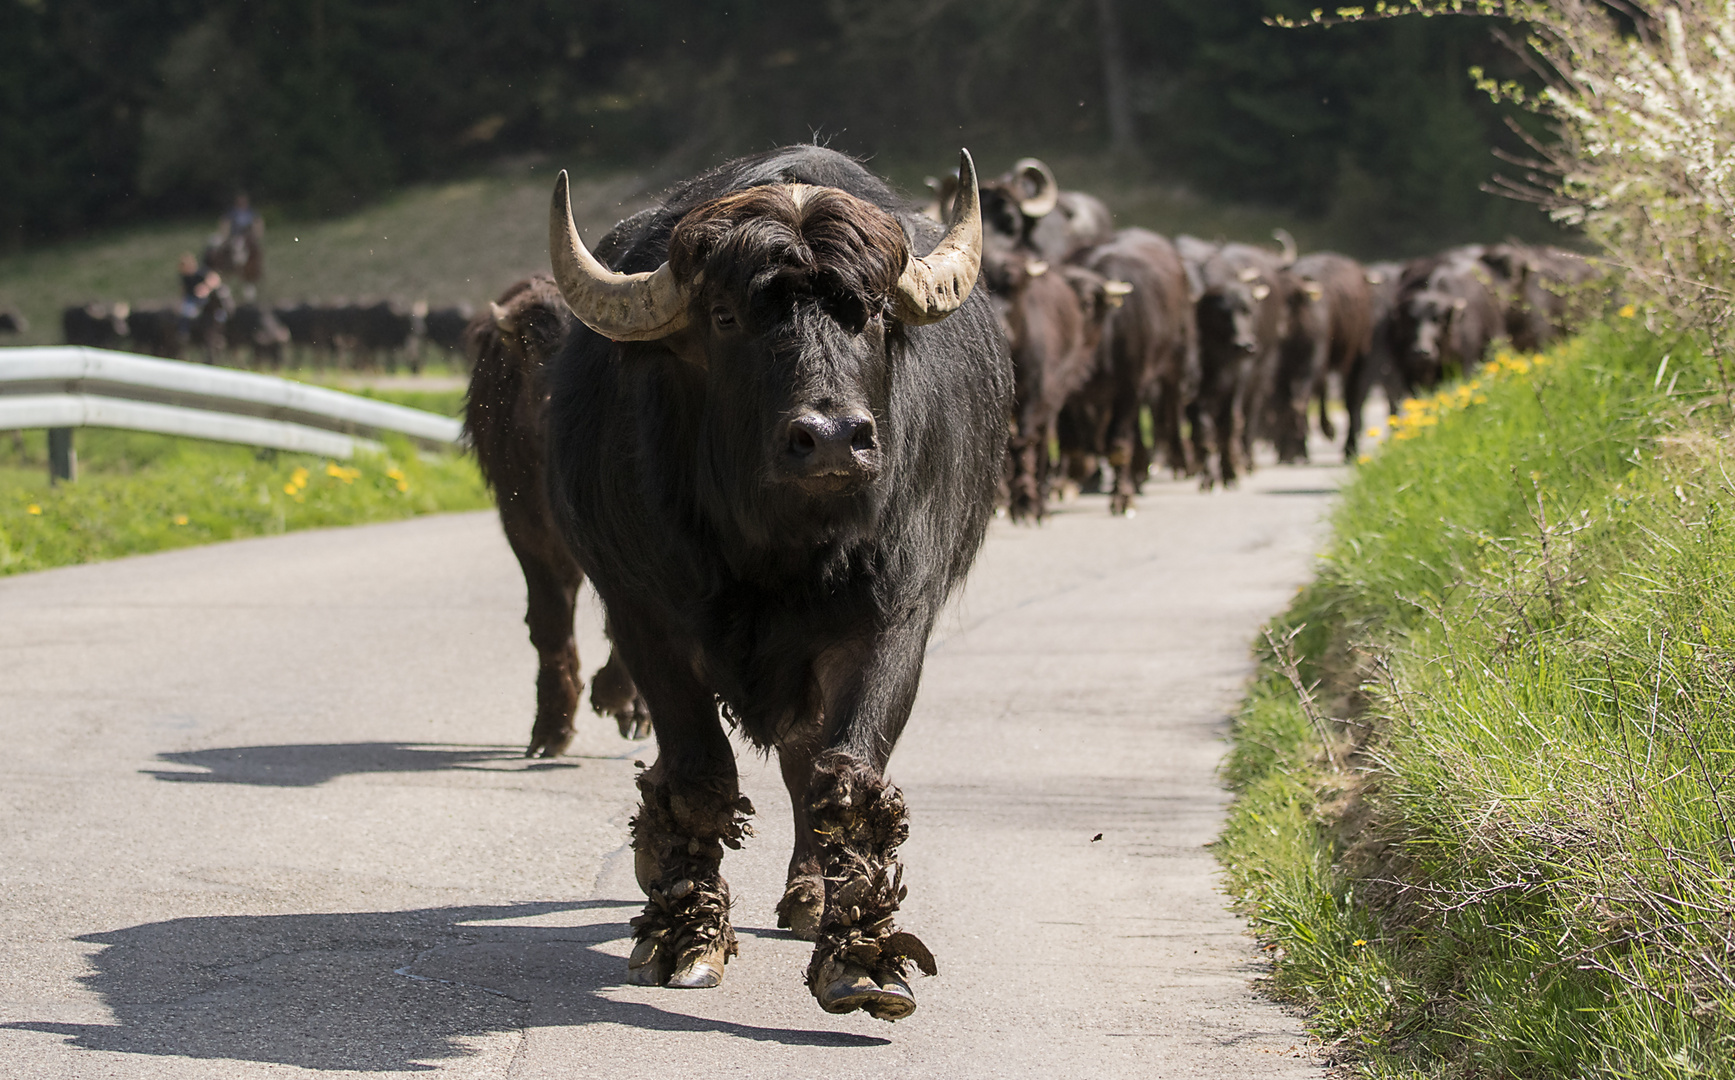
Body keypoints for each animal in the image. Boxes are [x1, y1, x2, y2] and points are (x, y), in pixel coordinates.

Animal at [537, 145, 1006, 1020]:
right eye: (725, 318)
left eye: (871, 314)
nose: (832, 438)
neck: (779, 550)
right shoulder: (645, 614)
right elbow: (696, 774)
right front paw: (684, 934)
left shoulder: (892, 616)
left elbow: (846, 775)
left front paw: (860, 954)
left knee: (803, 759)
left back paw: (811, 897)